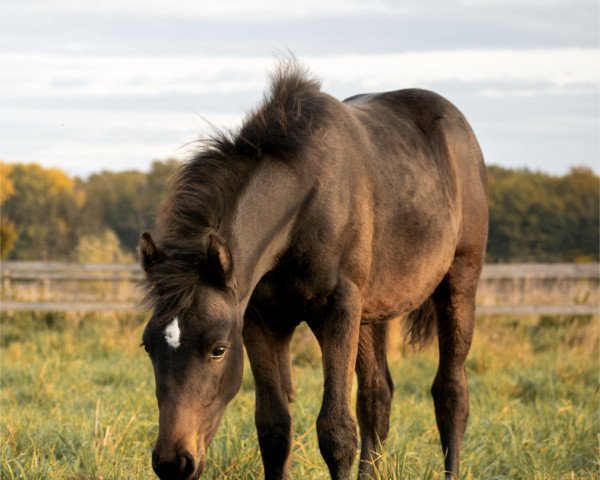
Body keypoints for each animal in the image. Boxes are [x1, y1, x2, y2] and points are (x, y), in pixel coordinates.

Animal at [139, 61, 488, 480]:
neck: (305, 206)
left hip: (458, 287)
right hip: (372, 312)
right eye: (148, 345)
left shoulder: (336, 312)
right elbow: (274, 428)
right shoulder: (262, 321)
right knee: (377, 397)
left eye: (218, 349)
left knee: (450, 394)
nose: (173, 462)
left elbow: (336, 431)